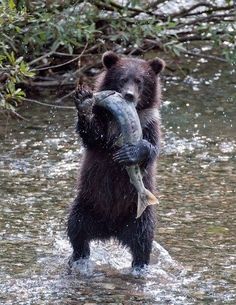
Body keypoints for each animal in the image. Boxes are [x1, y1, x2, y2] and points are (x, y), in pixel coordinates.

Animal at [67, 51, 165, 268]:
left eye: (140, 81)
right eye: (122, 79)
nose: (129, 95)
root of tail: (111, 230)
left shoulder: (150, 122)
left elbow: (152, 148)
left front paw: (132, 152)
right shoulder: (105, 121)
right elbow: (93, 135)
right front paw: (84, 100)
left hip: (136, 215)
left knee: (143, 240)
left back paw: (140, 265)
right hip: (88, 204)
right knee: (77, 230)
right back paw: (78, 258)